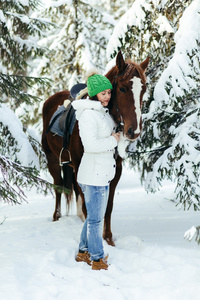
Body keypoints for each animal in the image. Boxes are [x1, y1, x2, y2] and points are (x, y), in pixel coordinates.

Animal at [41, 51, 148, 246]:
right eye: (122, 89)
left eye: (143, 89)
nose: (134, 131)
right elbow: (88, 205)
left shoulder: (116, 170)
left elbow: (108, 206)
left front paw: (108, 239)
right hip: (53, 160)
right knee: (59, 187)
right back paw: (56, 217)